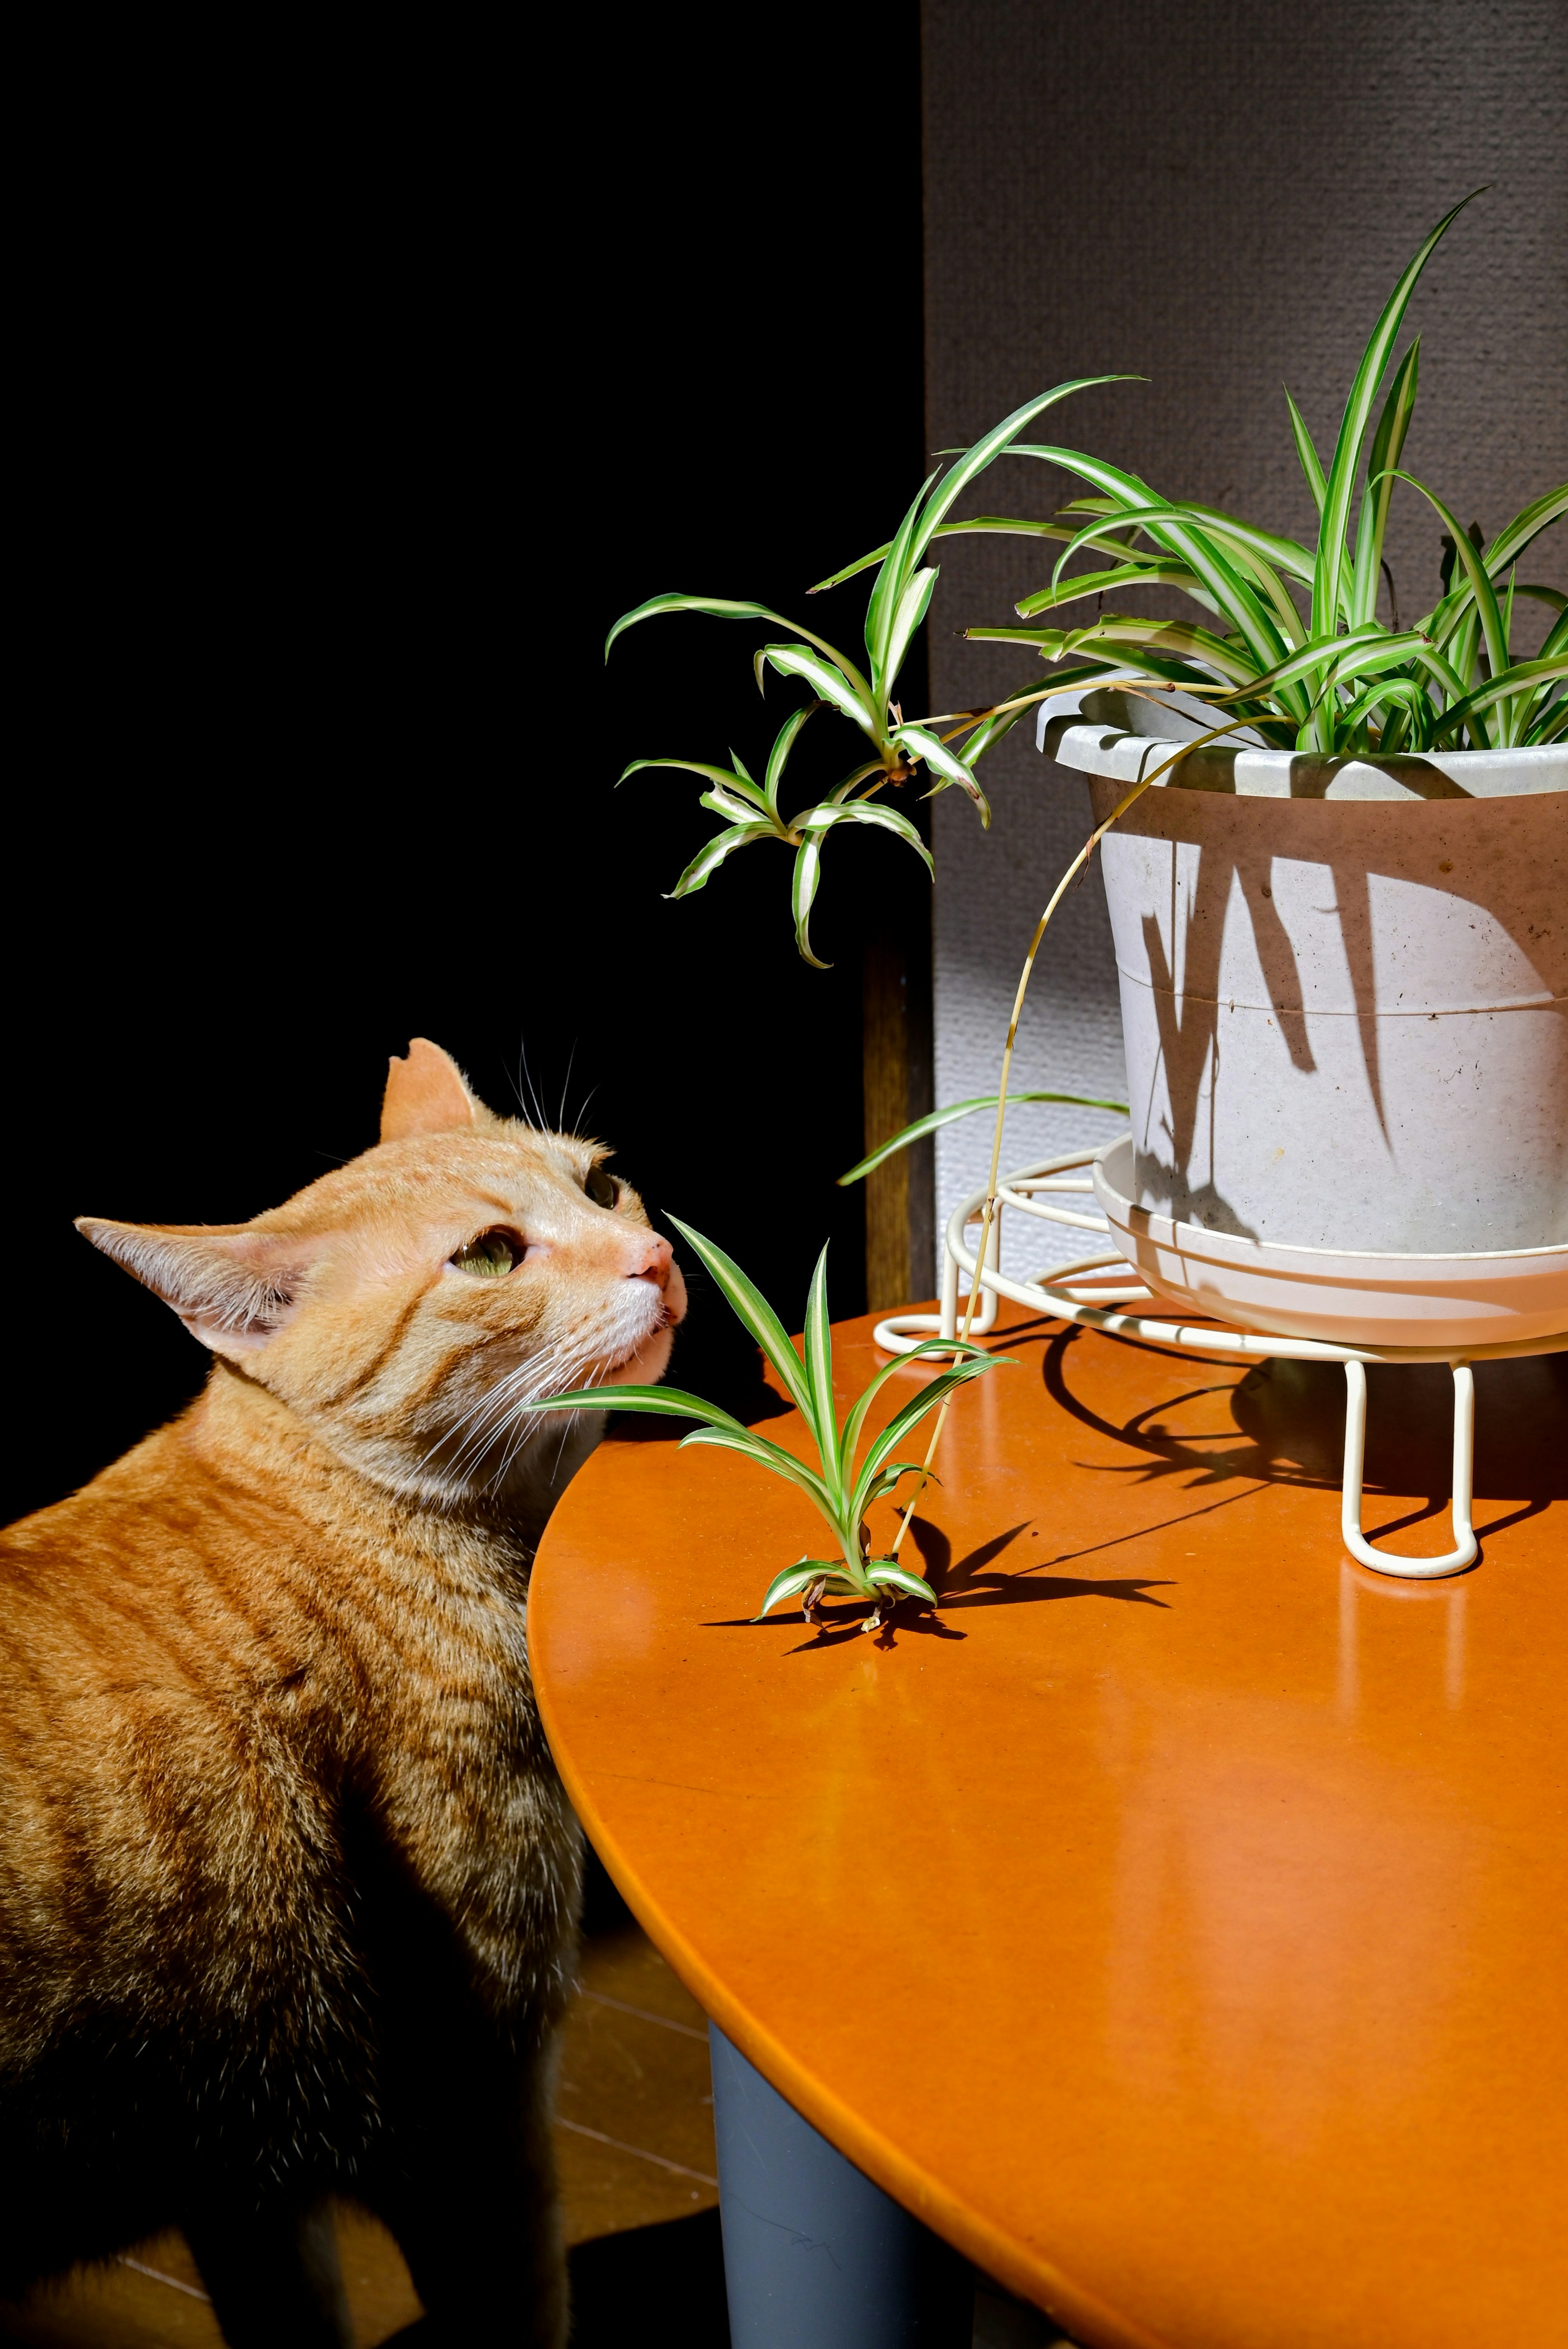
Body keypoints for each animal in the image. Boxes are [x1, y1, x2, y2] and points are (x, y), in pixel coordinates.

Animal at [0, 1047, 685, 2349]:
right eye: (490, 1255)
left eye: (603, 1181)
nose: (658, 1254)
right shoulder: (474, 2108)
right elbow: (519, 2303)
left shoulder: (243, 2179)